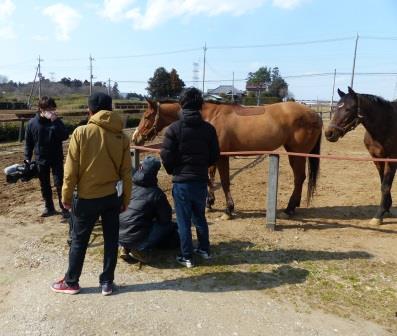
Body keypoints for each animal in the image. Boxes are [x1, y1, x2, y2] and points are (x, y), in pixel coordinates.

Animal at [131, 100, 320, 218]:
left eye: (147, 116)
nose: (135, 138)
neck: (208, 117)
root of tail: (313, 113)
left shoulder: (222, 157)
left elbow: (223, 180)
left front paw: (228, 208)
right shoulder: (213, 156)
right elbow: (210, 177)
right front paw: (209, 202)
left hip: (297, 153)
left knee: (299, 178)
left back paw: (289, 208)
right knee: (300, 178)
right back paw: (293, 206)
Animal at [324, 86, 396, 224]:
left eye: (348, 109)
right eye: (336, 108)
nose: (329, 133)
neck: (387, 124)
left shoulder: (392, 160)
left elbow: (385, 186)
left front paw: (378, 216)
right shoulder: (377, 159)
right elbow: (382, 183)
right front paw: (386, 208)